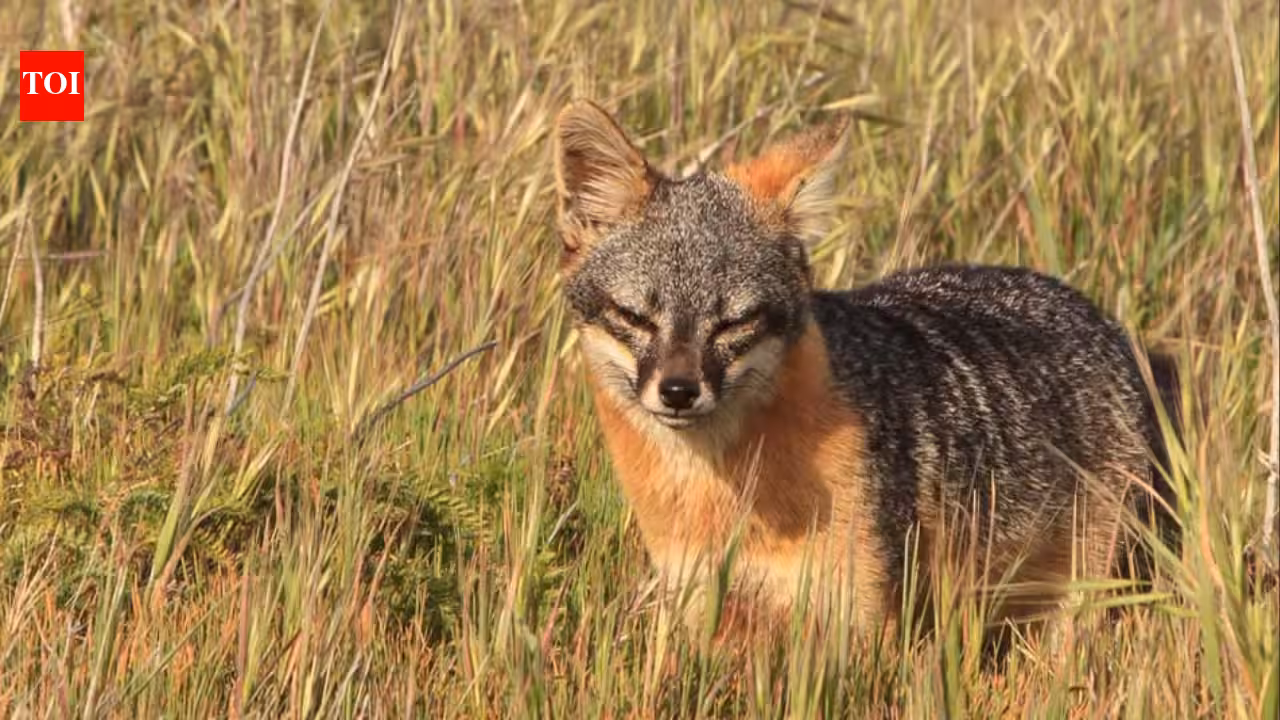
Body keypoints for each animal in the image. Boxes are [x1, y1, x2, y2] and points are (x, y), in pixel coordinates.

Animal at [550, 99, 1181, 647]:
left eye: (735, 322)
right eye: (634, 316)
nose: (679, 392)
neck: (721, 495)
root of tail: (1101, 318)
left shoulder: (859, 615)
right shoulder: (705, 605)